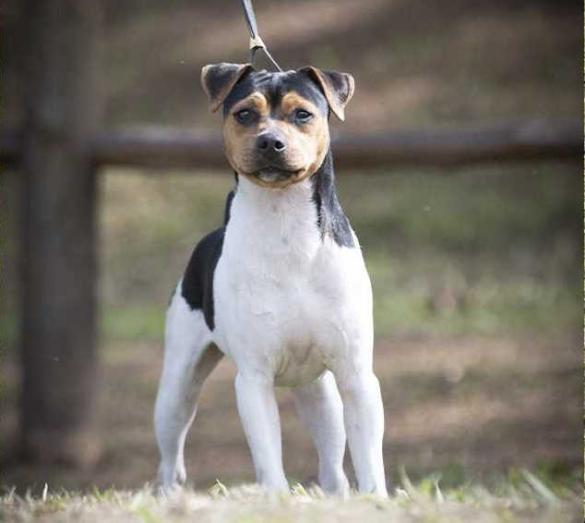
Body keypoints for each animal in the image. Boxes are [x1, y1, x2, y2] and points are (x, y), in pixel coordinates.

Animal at [153, 63, 386, 498]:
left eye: (303, 114)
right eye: (244, 113)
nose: (270, 142)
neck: (285, 225)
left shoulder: (355, 374)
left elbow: (368, 457)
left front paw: (375, 499)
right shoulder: (254, 379)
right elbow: (268, 457)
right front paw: (276, 499)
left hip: (318, 390)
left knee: (332, 458)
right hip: (178, 385)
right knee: (170, 454)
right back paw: (168, 494)